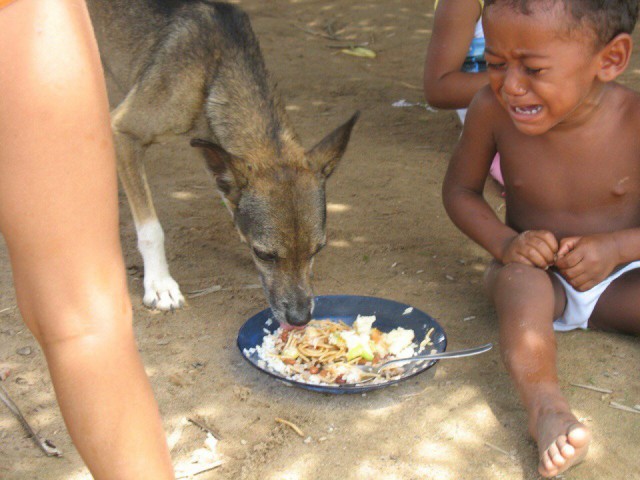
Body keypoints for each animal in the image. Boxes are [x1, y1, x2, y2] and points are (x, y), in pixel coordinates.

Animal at [87, 0, 360, 326]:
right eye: (264, 254)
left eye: (317, 249)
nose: (299, 318)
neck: (214, 71)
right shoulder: (123, 132)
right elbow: (151, 229)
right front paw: (160, 284)